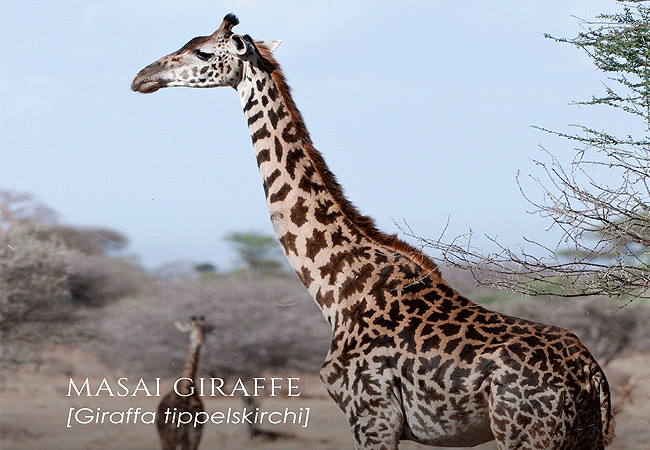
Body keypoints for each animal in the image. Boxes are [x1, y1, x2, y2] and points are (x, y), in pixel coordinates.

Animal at [156, 317, 207, 450]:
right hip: (166, 439)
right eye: (191, 330)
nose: (199, 342)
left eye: (205, 330)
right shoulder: (174, 435)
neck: (187, 392)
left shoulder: (195, 435)